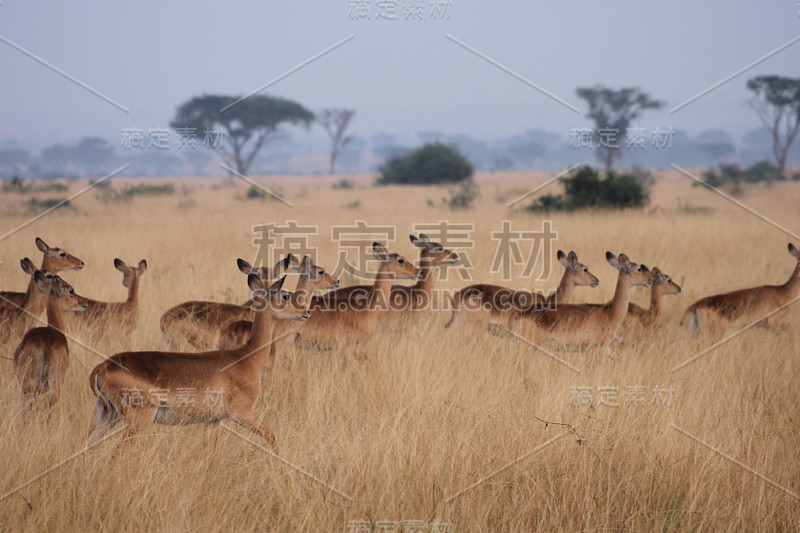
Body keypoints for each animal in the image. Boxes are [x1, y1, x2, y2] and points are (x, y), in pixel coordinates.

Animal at [86, 274, 308, 454]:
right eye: (285, 296)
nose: (305, 312)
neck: (246, 358)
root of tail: (102, 367)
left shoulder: (212, 420)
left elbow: (209, 453)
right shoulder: (241, 413)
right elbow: (272, 436)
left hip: (106, 416)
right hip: (137, 420)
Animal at [512, 252, 648, 356]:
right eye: (639, 269)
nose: (649, 280)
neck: (611, 312)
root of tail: (520, 315)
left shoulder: (604, 349)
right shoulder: (594, 349)